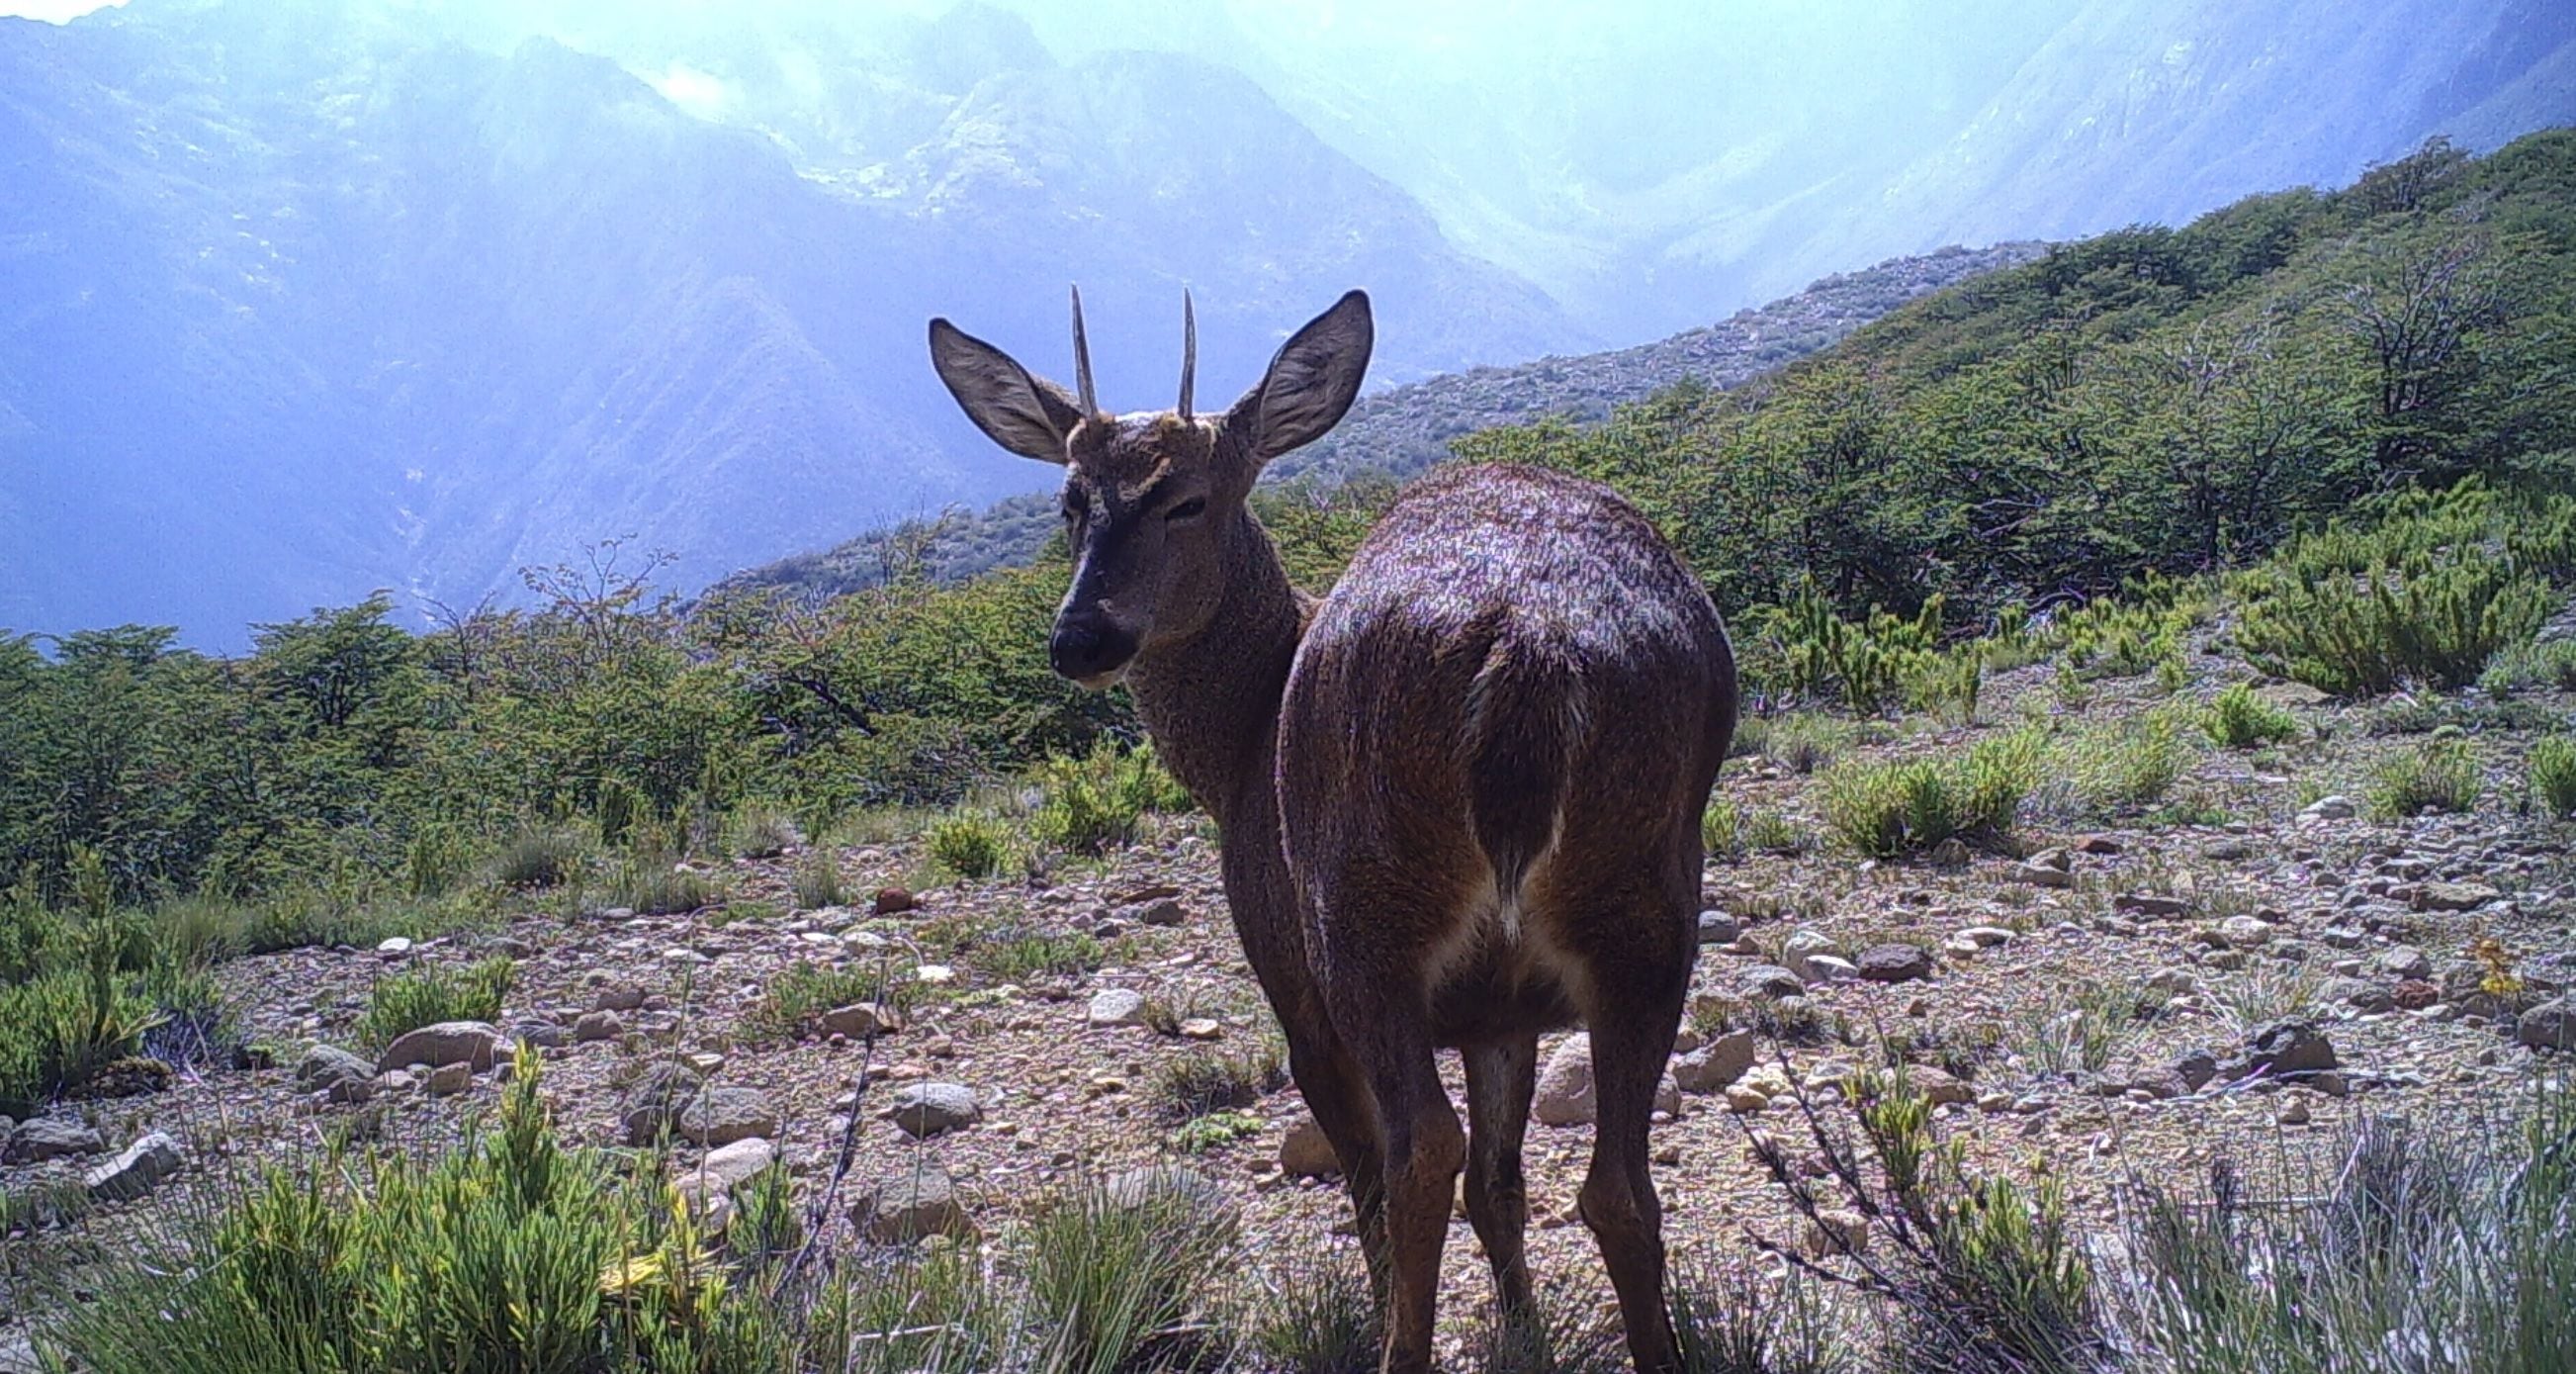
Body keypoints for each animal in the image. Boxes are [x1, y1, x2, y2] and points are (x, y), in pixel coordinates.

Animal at [927, 288, 1731, 1371]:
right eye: (1070, 501)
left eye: (1189, 499)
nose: (1080, 637)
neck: (1235, 747)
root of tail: (1528, 644)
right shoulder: (1503, 1009)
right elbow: (1502, 1186)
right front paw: (1522, 1332)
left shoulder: (1287, 976)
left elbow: (1374, 1183)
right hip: (1645, 900)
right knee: (1615, 1185)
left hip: (1361, 910)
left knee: (1417, 1153)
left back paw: (1399, 1347)